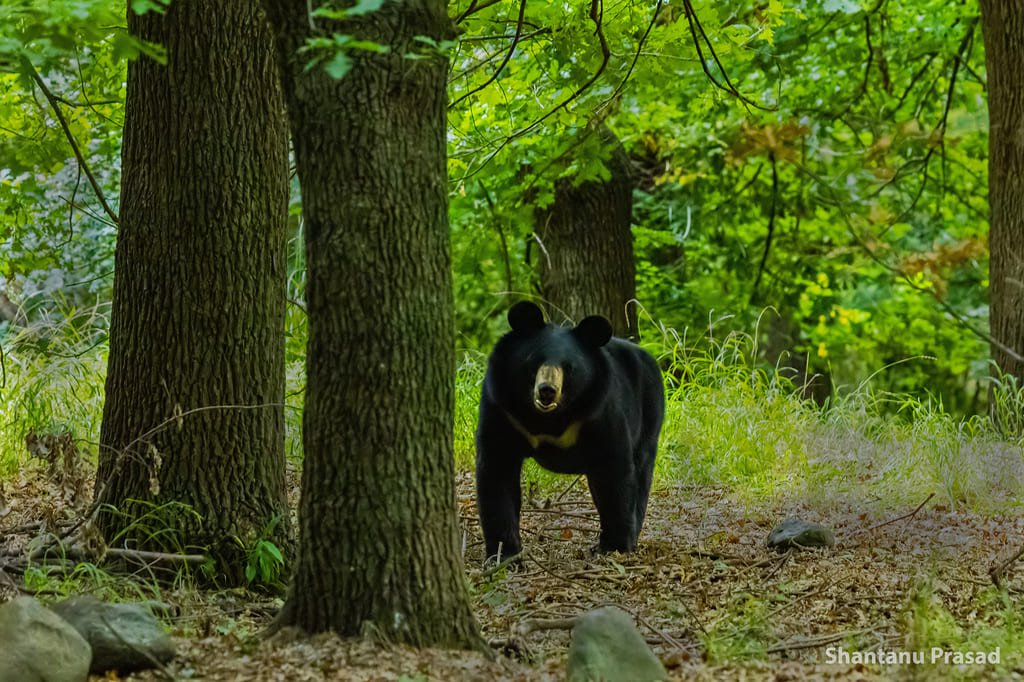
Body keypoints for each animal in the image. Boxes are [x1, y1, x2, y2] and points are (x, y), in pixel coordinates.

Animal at [473, 301, 663, 561]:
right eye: (534, 361)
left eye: (569, 367)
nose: (547, 391)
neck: (548, 418)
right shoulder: (501, 408)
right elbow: (497, 471)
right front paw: (505, 555)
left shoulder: (600, 411)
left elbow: (614, 472)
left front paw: (614, 546)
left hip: (649, 414)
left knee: (641, 472)